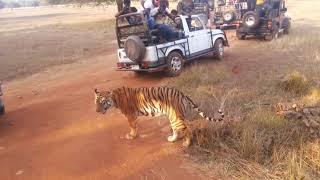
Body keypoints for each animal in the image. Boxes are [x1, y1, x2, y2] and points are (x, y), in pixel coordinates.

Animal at [94, 86, 225, 147]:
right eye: (96, 102)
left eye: (102, 102)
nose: (97, 111)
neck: (115, 99)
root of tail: (181, 93)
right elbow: (135, 126)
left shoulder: (130, 115)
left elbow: (132, 127)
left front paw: (131, 136)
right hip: (173, 117)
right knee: (177, 130)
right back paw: (172, 139)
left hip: (176, 118)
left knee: (186, 129)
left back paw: (186, 144)